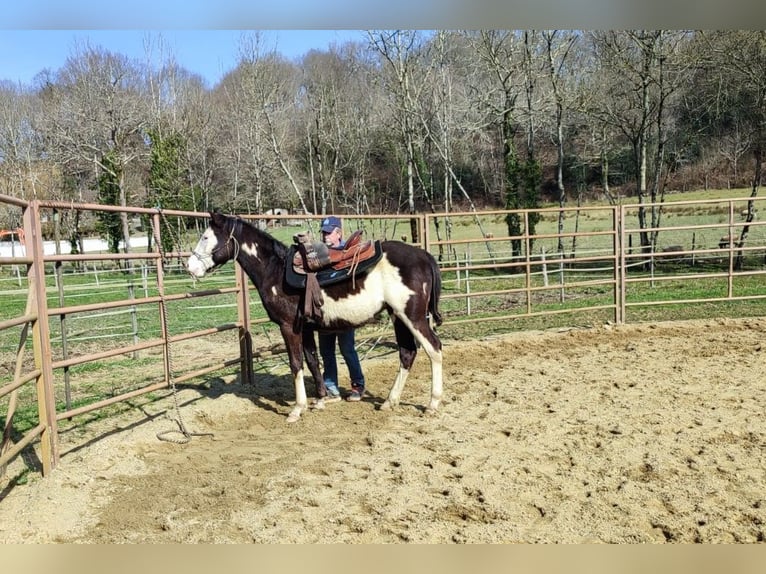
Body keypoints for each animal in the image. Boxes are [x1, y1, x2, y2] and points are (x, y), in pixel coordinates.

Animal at [187, 211, 444, 423]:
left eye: (206, 237)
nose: (189, 266)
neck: (274, 269)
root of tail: (424, 256)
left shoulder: (288, 327)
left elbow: (296, 363)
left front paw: (297, 409)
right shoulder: (306, 327)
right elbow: (312, 361)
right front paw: (321, 399)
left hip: (413, 317)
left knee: (434, 348)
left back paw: (432, 404)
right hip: (398, 317)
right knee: (407, 353)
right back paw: (390, 401)